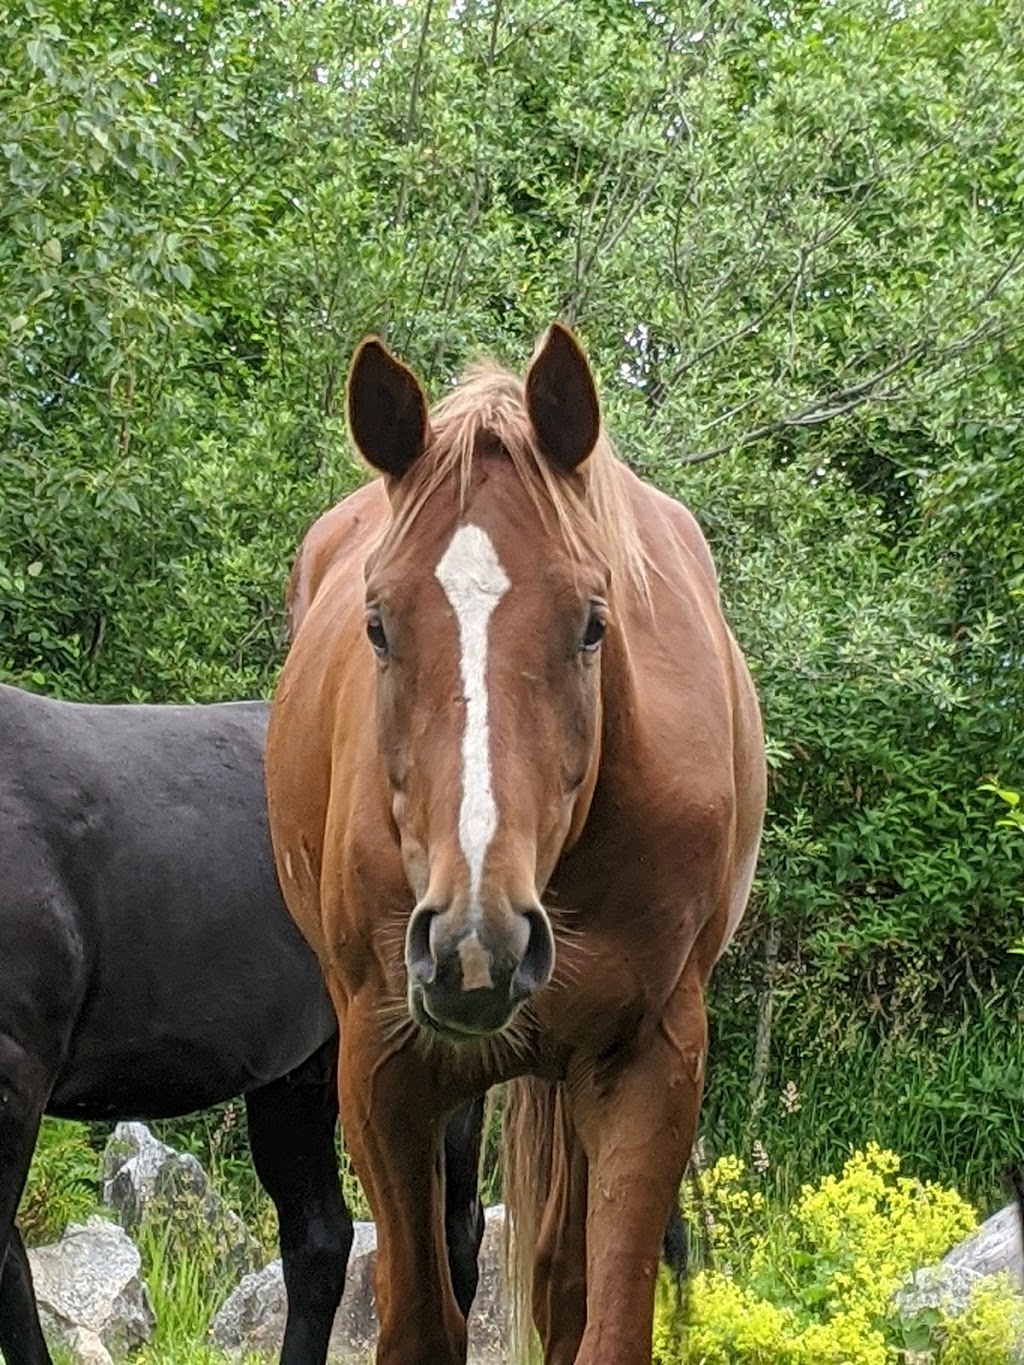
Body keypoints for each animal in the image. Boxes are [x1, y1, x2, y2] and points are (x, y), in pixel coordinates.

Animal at [268, 322, 764, 1365]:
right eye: (377, 623)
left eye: (592, 622)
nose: (474, 942)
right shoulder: (384, 1072)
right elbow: (422, 1321)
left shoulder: (651, 1064)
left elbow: (602, 1321)